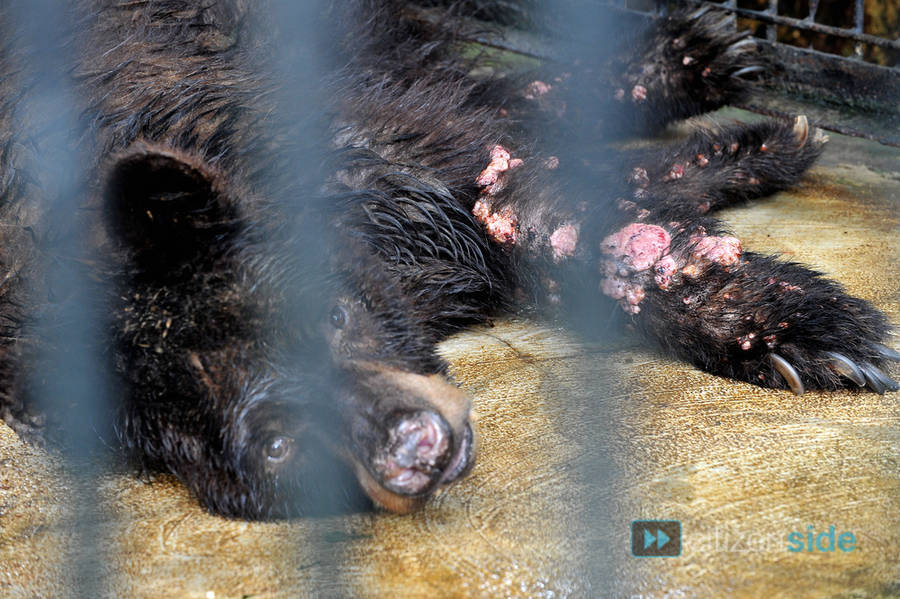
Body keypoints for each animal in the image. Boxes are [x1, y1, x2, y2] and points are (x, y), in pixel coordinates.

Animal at [0, 0, 896, 516]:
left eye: (328, 313)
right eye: (279, 448)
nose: (408, 451)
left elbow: (526, 204)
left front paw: (821, 332)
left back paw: (705, 69)